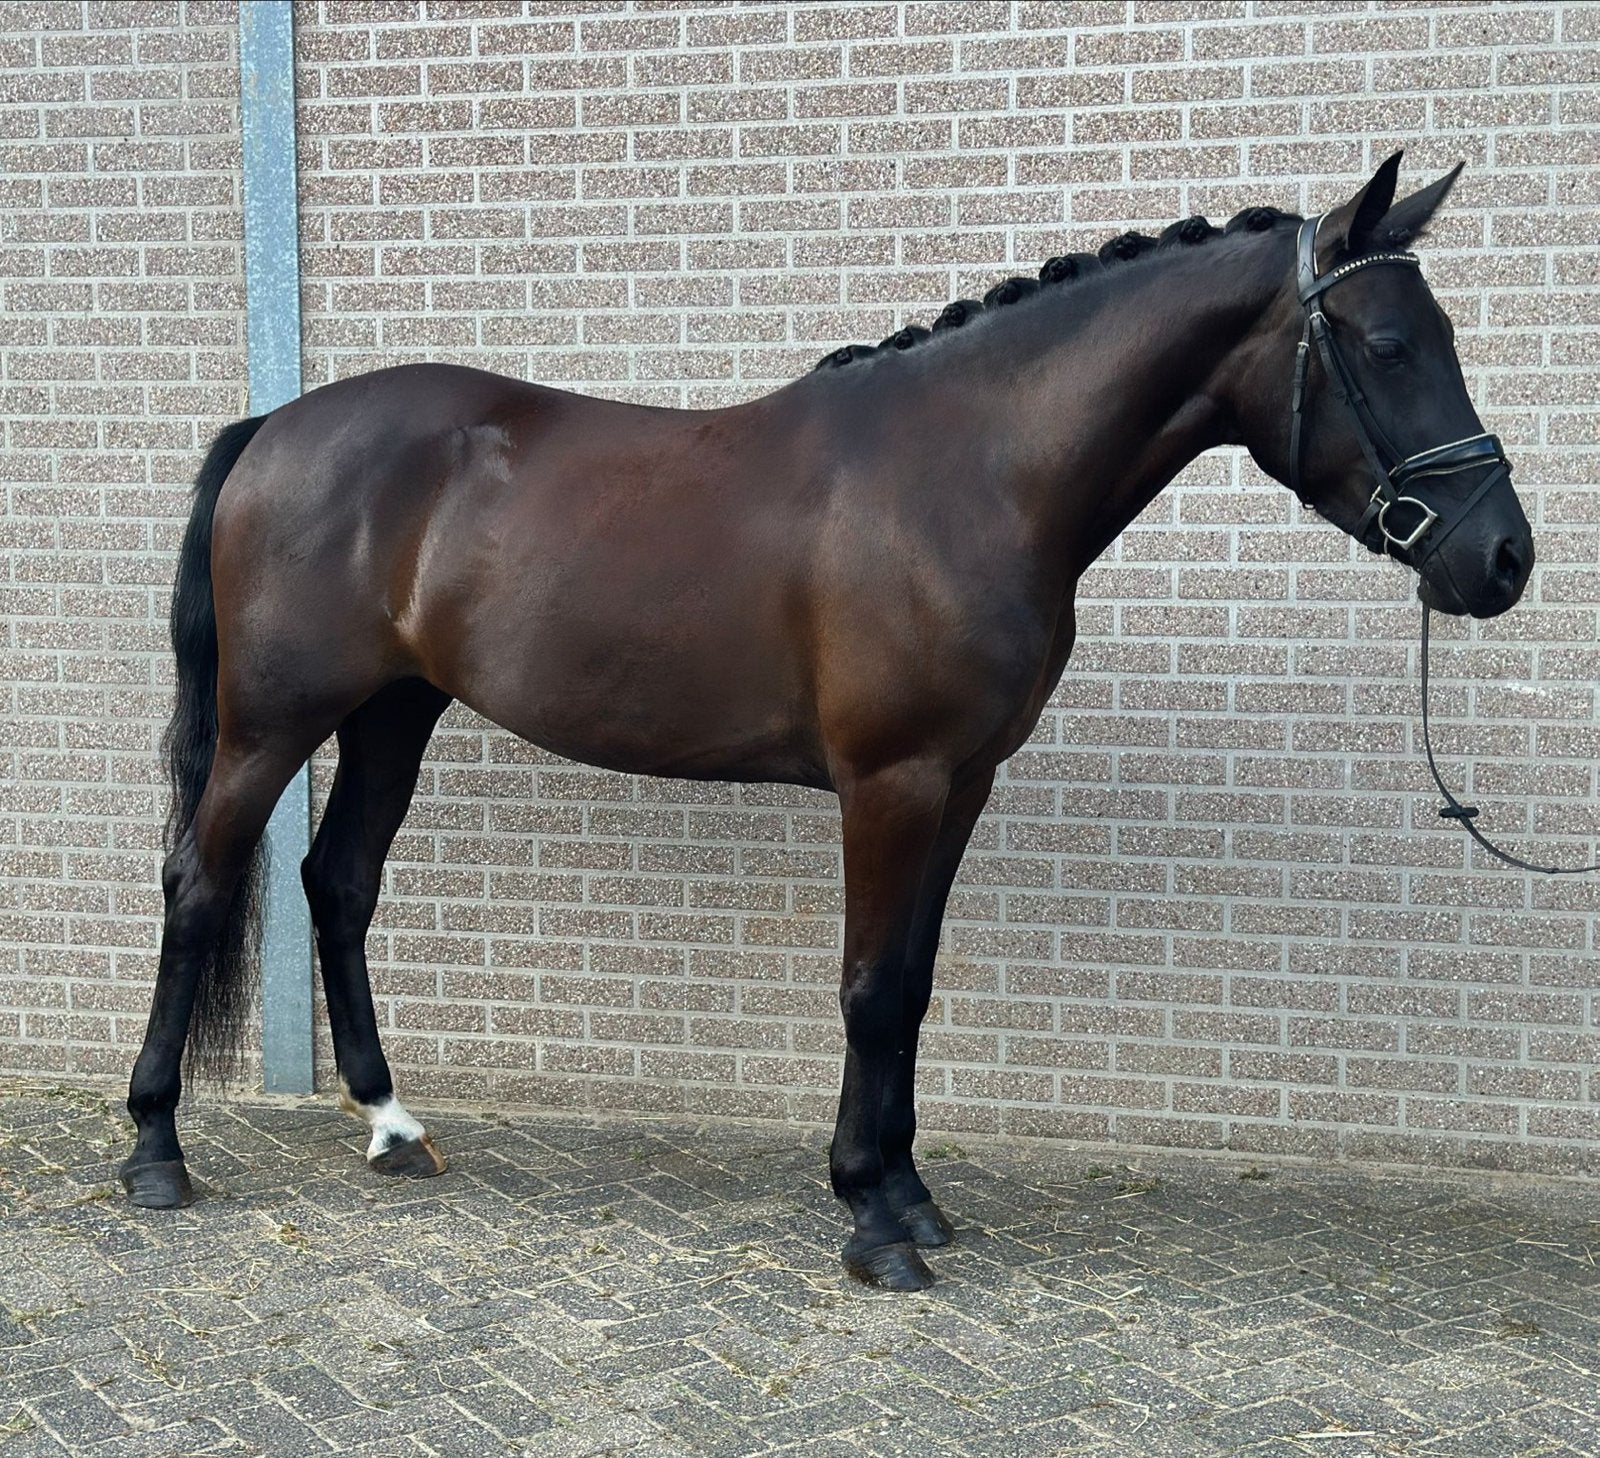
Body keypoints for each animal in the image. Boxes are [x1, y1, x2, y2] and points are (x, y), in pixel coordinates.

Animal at [122, 153, 1534, 1290]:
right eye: (1388, 345)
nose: (1502, 559)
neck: (968, 476)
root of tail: (276, 427)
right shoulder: (891, 781)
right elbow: (866, 986)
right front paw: (872, 1221)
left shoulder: (962, 782)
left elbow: (909, 984)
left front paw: (908, 1192)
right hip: (271, 723)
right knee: (201, 883)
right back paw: (156, 1152)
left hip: (394, 713)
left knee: (339, 880)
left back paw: (390, 1124)